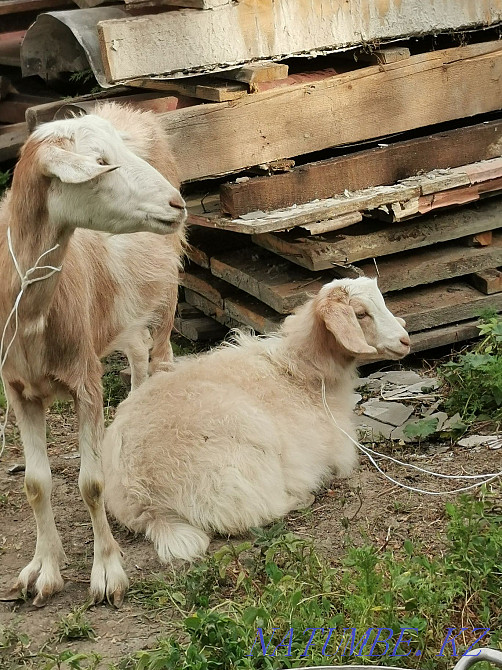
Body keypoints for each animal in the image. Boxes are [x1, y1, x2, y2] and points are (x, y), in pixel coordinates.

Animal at [0, 103, 186, 606]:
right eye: (102, 162)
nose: (176, 203)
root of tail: (130, 108)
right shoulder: (18, 391)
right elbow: (35, 483)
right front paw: (44, 568)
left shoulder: (85, 378)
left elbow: (91, 483)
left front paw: (107, 572)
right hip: (122, 314)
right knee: (137, 357)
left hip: (166, 296)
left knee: (161, 359)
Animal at [102, 277, 410, 563]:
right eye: (360, 313)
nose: (405, 340)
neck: (300, 372)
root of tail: (145, 500)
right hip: (238, 471)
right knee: (250, 512)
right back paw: (300, 497)